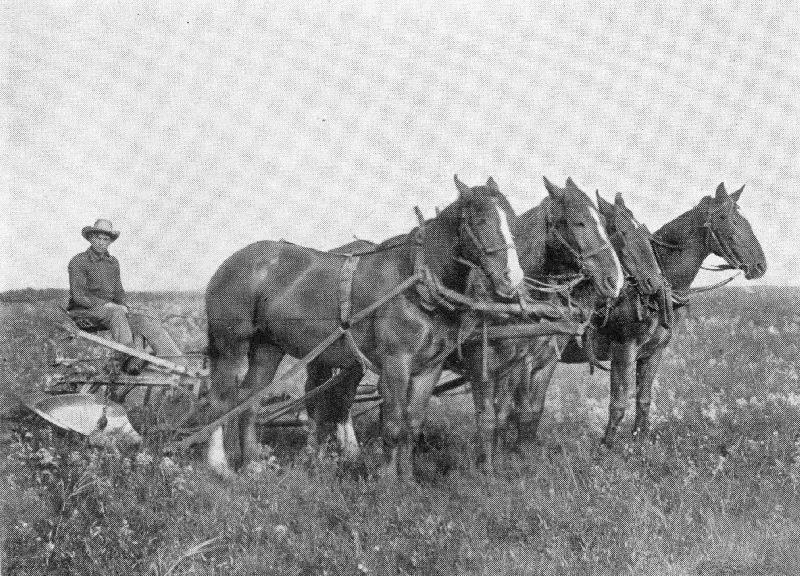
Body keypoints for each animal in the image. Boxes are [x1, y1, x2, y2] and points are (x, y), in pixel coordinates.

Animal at [204, 175, 527, 480]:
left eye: (511, 220)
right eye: (481, 220)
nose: (513, 278)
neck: (418, 278)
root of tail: (230, 263)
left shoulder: (429, 367)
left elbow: (412, 423)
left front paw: (407, 480)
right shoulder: (397, 362)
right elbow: (393, 425)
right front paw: (386, 481)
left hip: (267, 347)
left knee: (251, 399)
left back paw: (253, 466)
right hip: (231, 345)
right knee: (221, 400)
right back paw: (220, 466)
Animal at [527, 182, 766, 446]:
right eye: (726, 218)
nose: (760, 265)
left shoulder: (653, 353)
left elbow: (644, 399)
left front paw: (639, 441)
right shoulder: (624, 352)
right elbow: (618, 404)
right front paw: (606, 446)